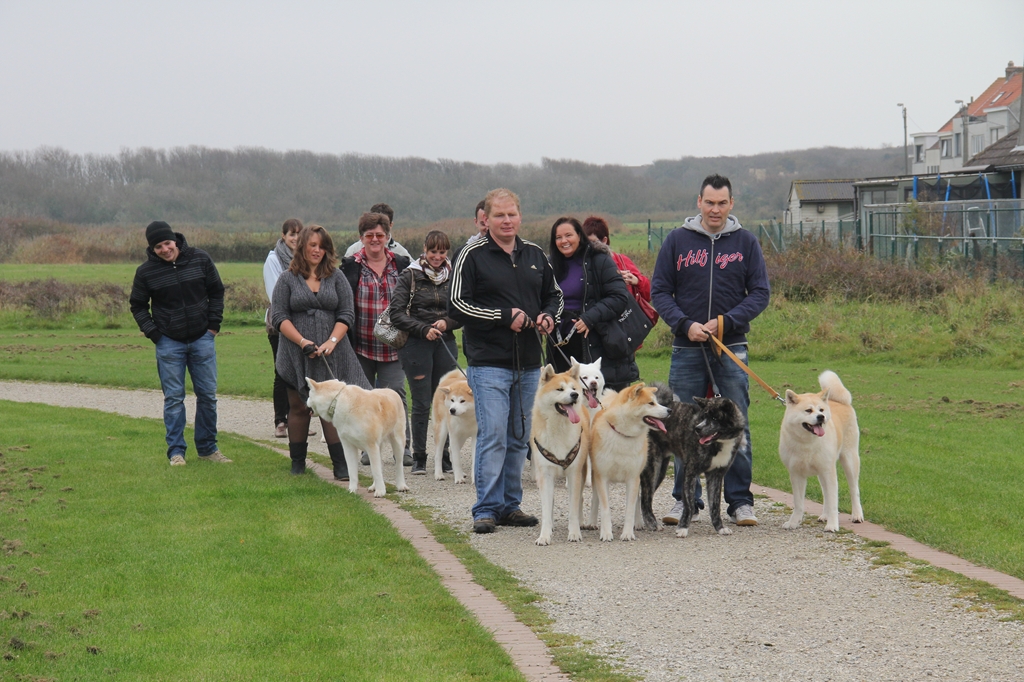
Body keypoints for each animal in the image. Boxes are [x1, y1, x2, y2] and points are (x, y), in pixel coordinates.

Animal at [532, 358, 589, 544]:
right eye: (560, 389)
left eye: (573, 388)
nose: (575, 395)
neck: (559, 428)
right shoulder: (545, 474)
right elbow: (546, 508)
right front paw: (544, 535)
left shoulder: (574, 473)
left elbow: (573, 508)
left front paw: (574, 532)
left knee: (579, 499)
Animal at [589, 385, 667, 540]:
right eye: (651, 403)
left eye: (656, 402)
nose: (670, 411)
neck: (623, 435)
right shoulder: (602, 477)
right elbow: (605, 508)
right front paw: (606, 533)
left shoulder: (633, 478)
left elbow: (630, 509)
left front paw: (627, 533)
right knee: (595, 499)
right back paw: (592, 522)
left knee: (637, 501)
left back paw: (638, 523)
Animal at [638, 382, 745, 536]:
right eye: (703, 417)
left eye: (714, 418)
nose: (697, 429)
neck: (720, 442)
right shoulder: (690, 472)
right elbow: (688, 504)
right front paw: (683, 528)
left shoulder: (716, 476)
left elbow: (715, 506)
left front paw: (720, 528)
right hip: (653, 468)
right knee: (646, 498)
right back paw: (652, 524)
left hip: (660, 470)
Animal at [778, 366, 860, 532]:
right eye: (808, 410)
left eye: (821, 410)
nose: (821, 417)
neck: (807, 443)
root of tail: (840, 401)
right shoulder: (796, 474)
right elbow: (798, 504)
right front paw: (793, 522)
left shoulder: (829, 471)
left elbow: (834, 502)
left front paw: (833, 525)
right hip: (822, 472)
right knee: (825, 494)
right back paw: (824, 516)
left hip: (849, 460)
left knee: (854, 489)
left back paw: (857, 515)